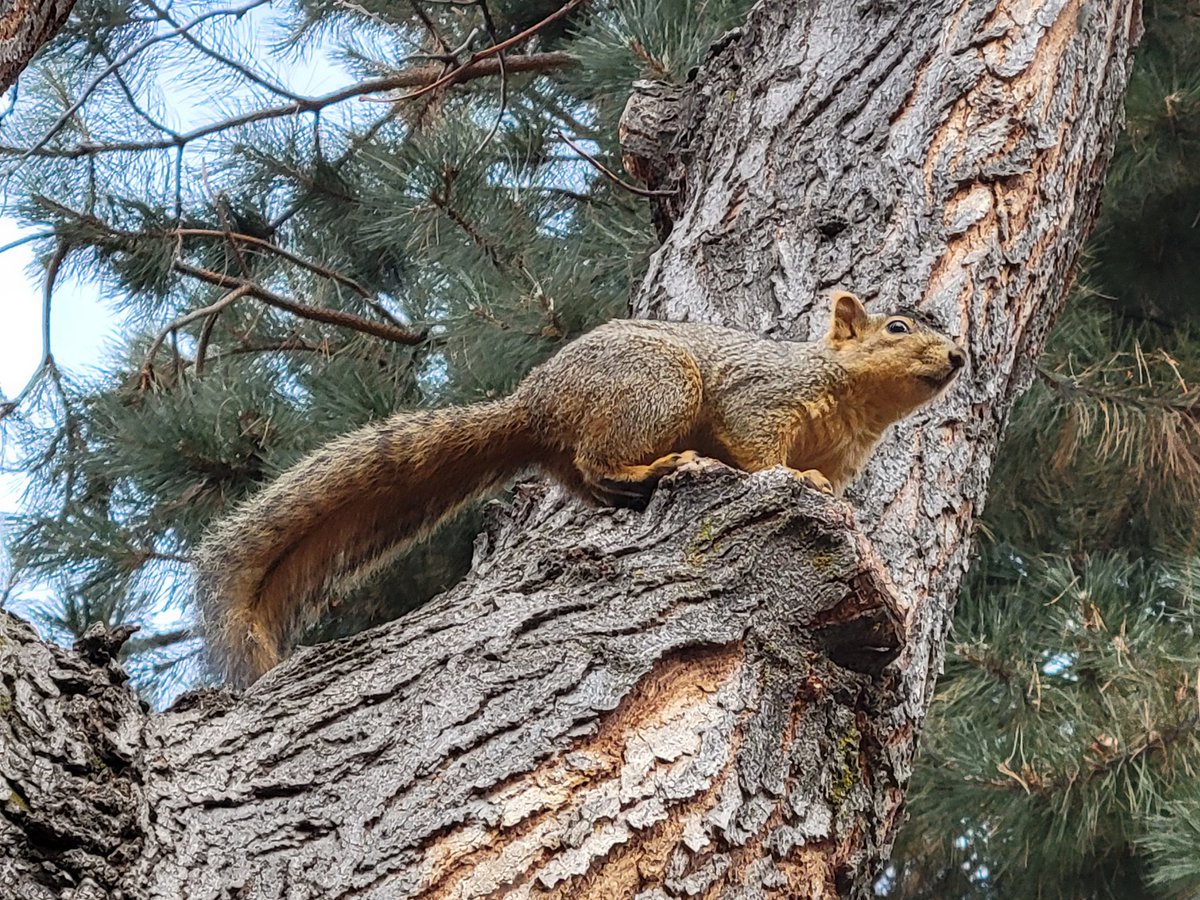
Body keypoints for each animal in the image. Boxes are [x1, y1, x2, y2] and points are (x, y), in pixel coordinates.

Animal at [195, 291, 966, 686]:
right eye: (897, 327)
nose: (959, 354)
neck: (855, 403)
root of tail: (535, 406)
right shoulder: (763, 398)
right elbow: (758, 448)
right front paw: (787, 477)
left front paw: (828, 494)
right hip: (657, 390)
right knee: (601, 461)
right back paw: (660, 468)